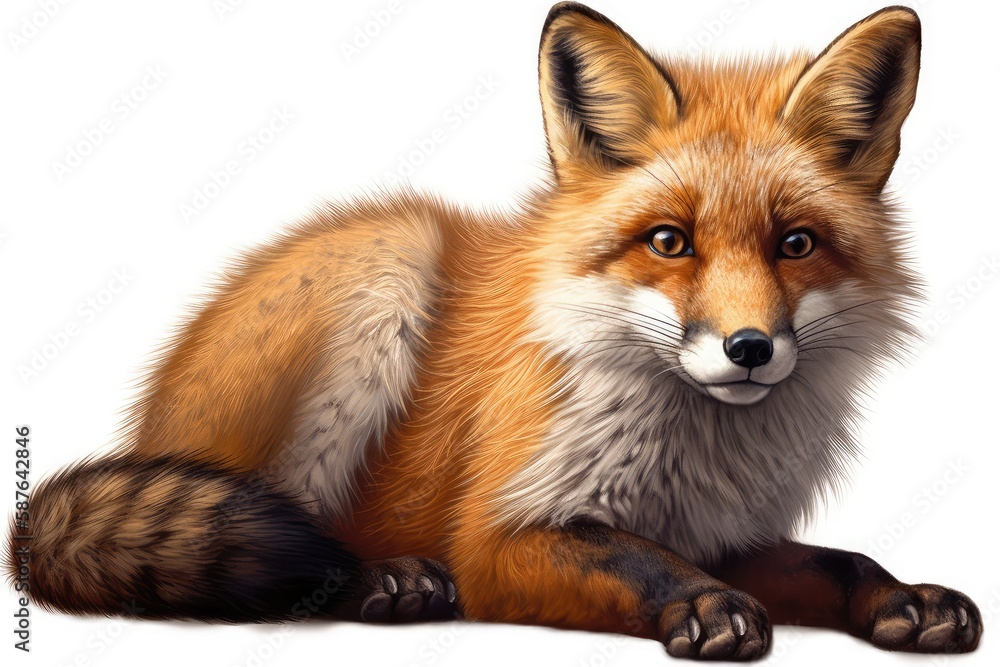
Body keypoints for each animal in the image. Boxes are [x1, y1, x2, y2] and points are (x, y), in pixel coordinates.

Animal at [6, 2, 983, 661]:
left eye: (796, 244)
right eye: (670, 241)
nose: (749, 348)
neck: (694, 457)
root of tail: (151, 417)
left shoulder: (730, 530)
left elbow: (837, 560)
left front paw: (901, 594)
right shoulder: (501, 535)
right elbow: (634, 559)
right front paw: (706, 604)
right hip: (386, 271)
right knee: (293, 549)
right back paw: (385, 579)